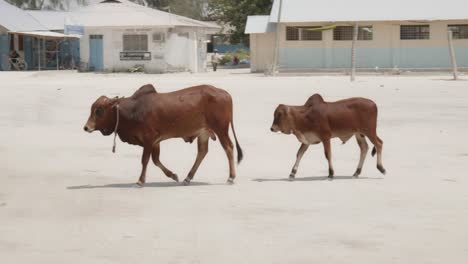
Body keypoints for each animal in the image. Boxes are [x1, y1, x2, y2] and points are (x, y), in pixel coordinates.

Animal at [84, 84, 243, 186]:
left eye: (99, 110)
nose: (86, 127)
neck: (133, 110)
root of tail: (224, 93)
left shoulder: (149, 139)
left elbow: (145, 160)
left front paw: (140, 181)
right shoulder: (155, 142)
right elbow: (156, 161)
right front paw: (173, 175)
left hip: (221, 129)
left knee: (229, 147)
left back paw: (231, 177)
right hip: (203, 133)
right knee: (202, 152)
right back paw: (188, 178)